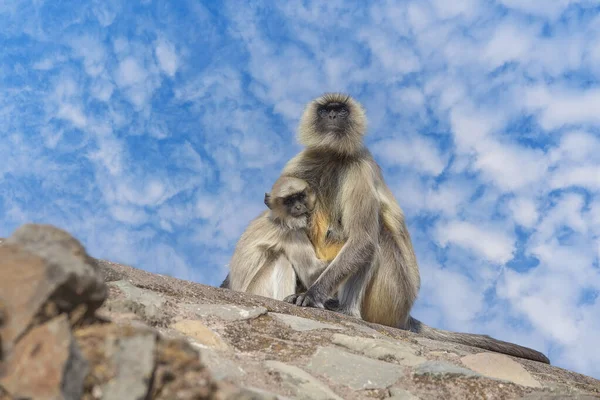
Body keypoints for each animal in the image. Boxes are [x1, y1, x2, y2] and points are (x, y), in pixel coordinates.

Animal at [280, 92, 548, 364]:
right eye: (326, 111)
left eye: (341, 110)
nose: (334, 116)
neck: (332, 156)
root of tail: (405, 315)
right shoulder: (302, 162)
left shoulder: (359, 167)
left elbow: (363, 240)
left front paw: (313, 295)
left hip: (392, 295)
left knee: (376, 238)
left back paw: (347, 311)